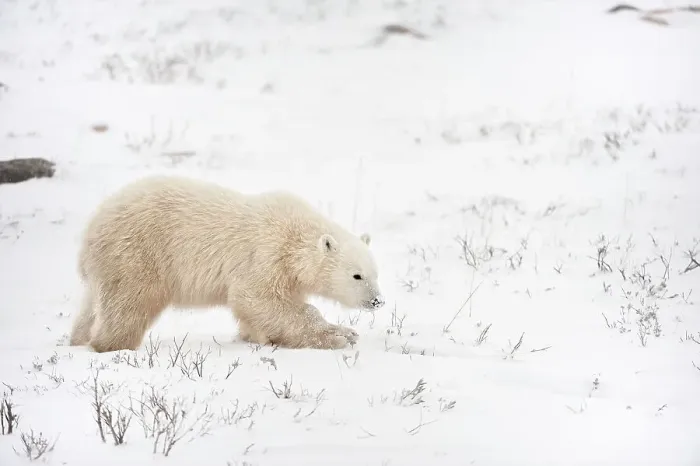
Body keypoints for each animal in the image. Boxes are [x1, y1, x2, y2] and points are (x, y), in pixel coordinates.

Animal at [68, 175, 385, 353]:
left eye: (375, 273)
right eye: (357, 276)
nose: (377, 301)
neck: (294, 235)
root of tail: (91, 231)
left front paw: (256, 336)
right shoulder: (266, 254)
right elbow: (256, 298)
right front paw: (340, 335)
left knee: (91, 306)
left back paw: (78, 339)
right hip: (136, 253)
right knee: (129, 305)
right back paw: (112, 345)